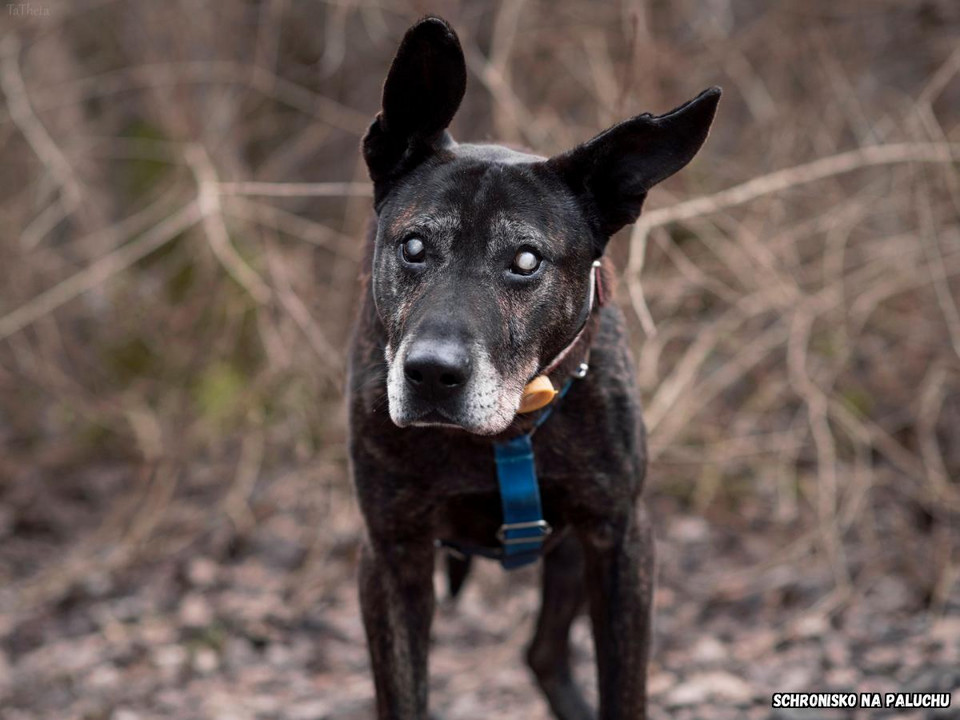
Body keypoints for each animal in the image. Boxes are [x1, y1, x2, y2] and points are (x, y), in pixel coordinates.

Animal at [348, 16, 716, 720]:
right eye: (413, 247)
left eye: (525, 261)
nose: (432, 374)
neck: (508, 431)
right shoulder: (391, 554)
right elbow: (403, 694)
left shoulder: (620, 538)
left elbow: (624, 687)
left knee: (543, 651)